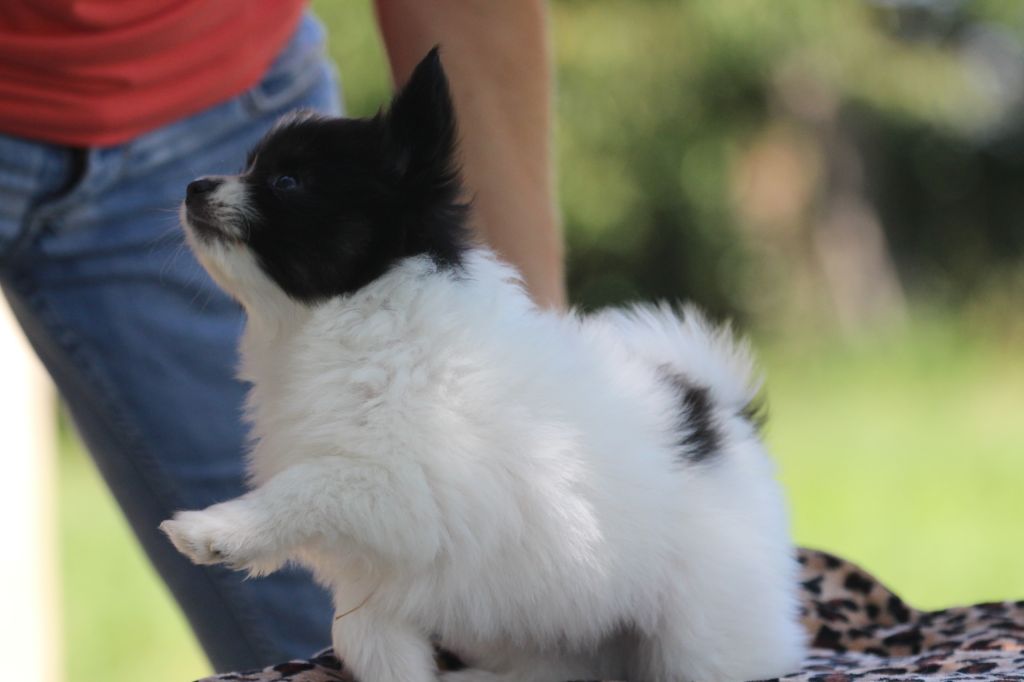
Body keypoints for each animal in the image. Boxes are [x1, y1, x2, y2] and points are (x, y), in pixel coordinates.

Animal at [161, 47, 806, 682]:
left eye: (287, 180)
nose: (194, 185)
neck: (358, 312)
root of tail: (719, 412)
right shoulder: (385, 564)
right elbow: (362, 632)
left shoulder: (399, 480)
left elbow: (307, 486)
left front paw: (214, 530)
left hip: (703, 627)